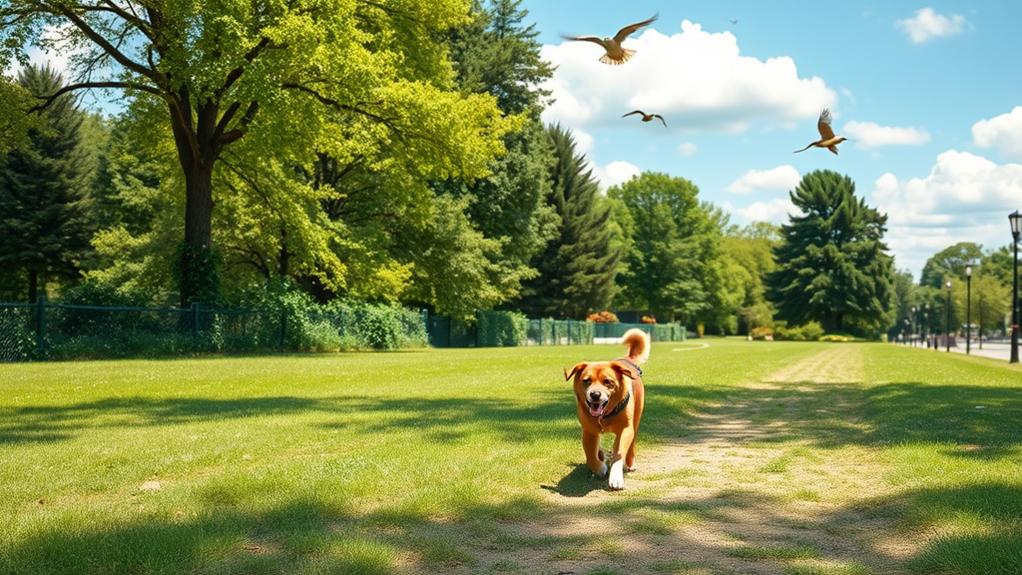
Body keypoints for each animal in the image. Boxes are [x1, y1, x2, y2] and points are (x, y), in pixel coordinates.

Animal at [568, 328, 645, 490]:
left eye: (608, 382)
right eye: (586, 381)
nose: (595, 394)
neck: (604, 417)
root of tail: (627, 359)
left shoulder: (625, 429)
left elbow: (618, 453)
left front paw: (615, 477)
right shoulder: (588, 431)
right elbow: (590, 455)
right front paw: (600, 467)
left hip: (636, 418)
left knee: (631, 443)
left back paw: (629, 463)